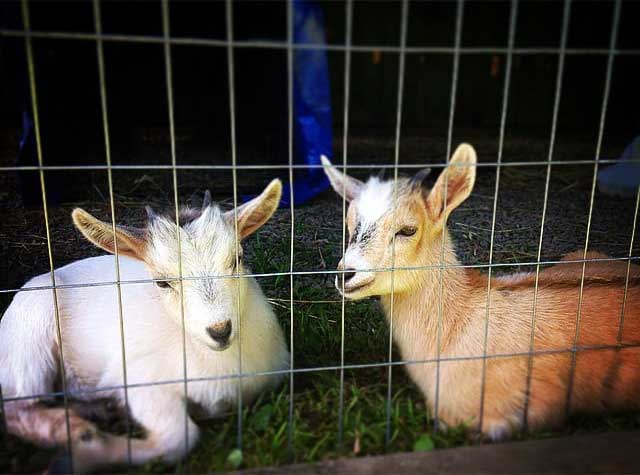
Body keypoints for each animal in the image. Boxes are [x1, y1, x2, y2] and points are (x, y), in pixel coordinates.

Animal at [0, 179, 289, 471]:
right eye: (161, 282)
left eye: (237, 259)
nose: (220, 330)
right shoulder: (138, 379)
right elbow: (179, 437)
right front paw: (85, 454)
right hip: (29, 334)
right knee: (14, 405)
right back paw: (71, 429)